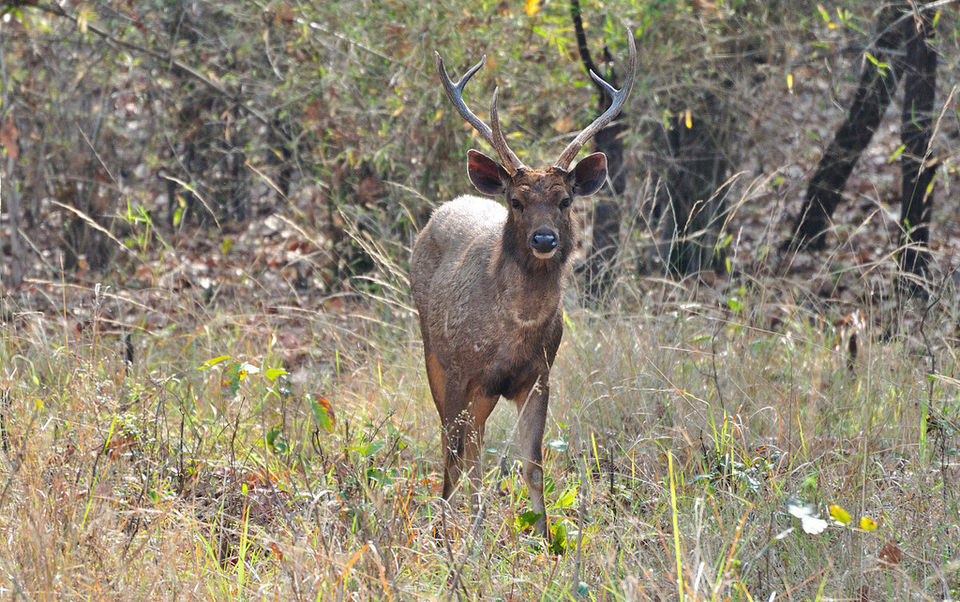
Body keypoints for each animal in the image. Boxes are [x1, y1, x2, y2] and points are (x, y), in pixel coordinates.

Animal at [412, 31, 636, 536]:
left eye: (565, 199)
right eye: (516, 200)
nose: (544, 238)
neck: (514, 330)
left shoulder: (538, 375)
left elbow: (532, 464)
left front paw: (543, 537)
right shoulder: (461, 369)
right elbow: (453, 455)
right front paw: (447, 536)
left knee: (473, 449)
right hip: (432, 350)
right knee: (456, 447)